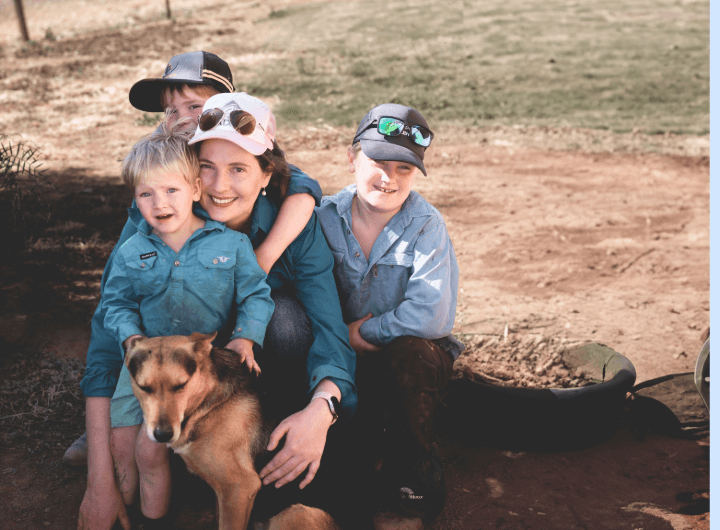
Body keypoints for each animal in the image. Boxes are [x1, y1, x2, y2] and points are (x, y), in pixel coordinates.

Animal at [126, 332, 340, 524]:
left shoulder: (240, 488)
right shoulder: (223, 493)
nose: (162, 435)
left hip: (298, 513)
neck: (208, 400)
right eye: (144, 388)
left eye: (181, 385)